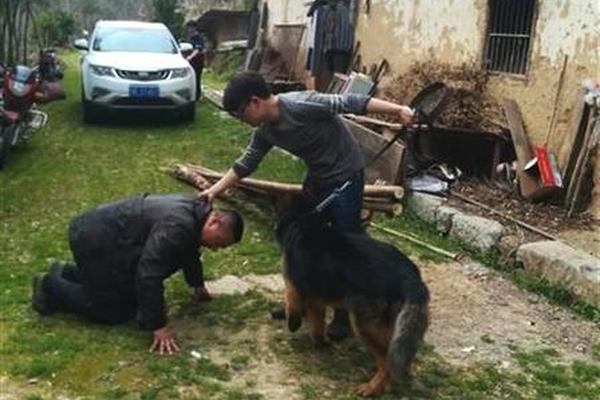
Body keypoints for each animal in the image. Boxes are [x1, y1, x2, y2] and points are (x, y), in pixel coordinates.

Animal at [276, 208, 432, 396]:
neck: (305, 223)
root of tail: (410, 279)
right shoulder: (317, 300)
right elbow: (317, 325)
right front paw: (320, 344)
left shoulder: (292, 285)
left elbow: (292, 304)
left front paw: (293, 323)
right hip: (389, 325)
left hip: (364, 325)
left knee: (386, 360)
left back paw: (372, 388)